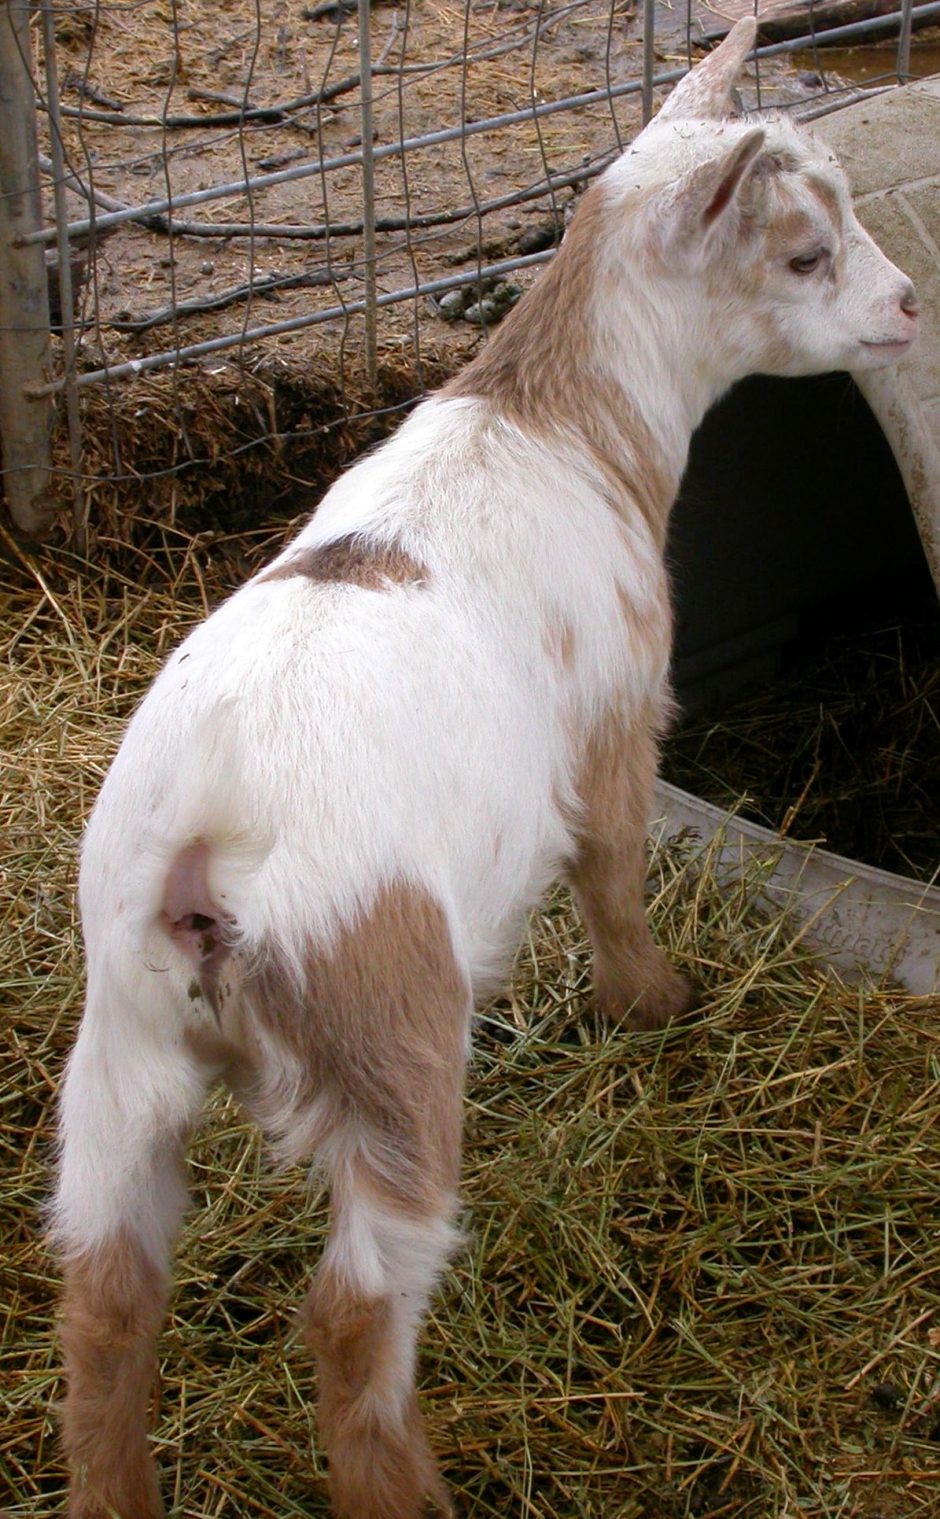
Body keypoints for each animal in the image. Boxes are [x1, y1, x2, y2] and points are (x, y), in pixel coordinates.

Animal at [53, 20, 918, 1518]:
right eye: (807, 255)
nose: (911, 305)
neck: (557, 422)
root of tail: (209, 838)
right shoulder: (619, 715)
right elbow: (615, 873)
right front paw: (655, 1006)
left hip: (118, 1048)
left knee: (107, 1296)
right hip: (391, 1030)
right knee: (352, 1316)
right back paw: (409, 1486)